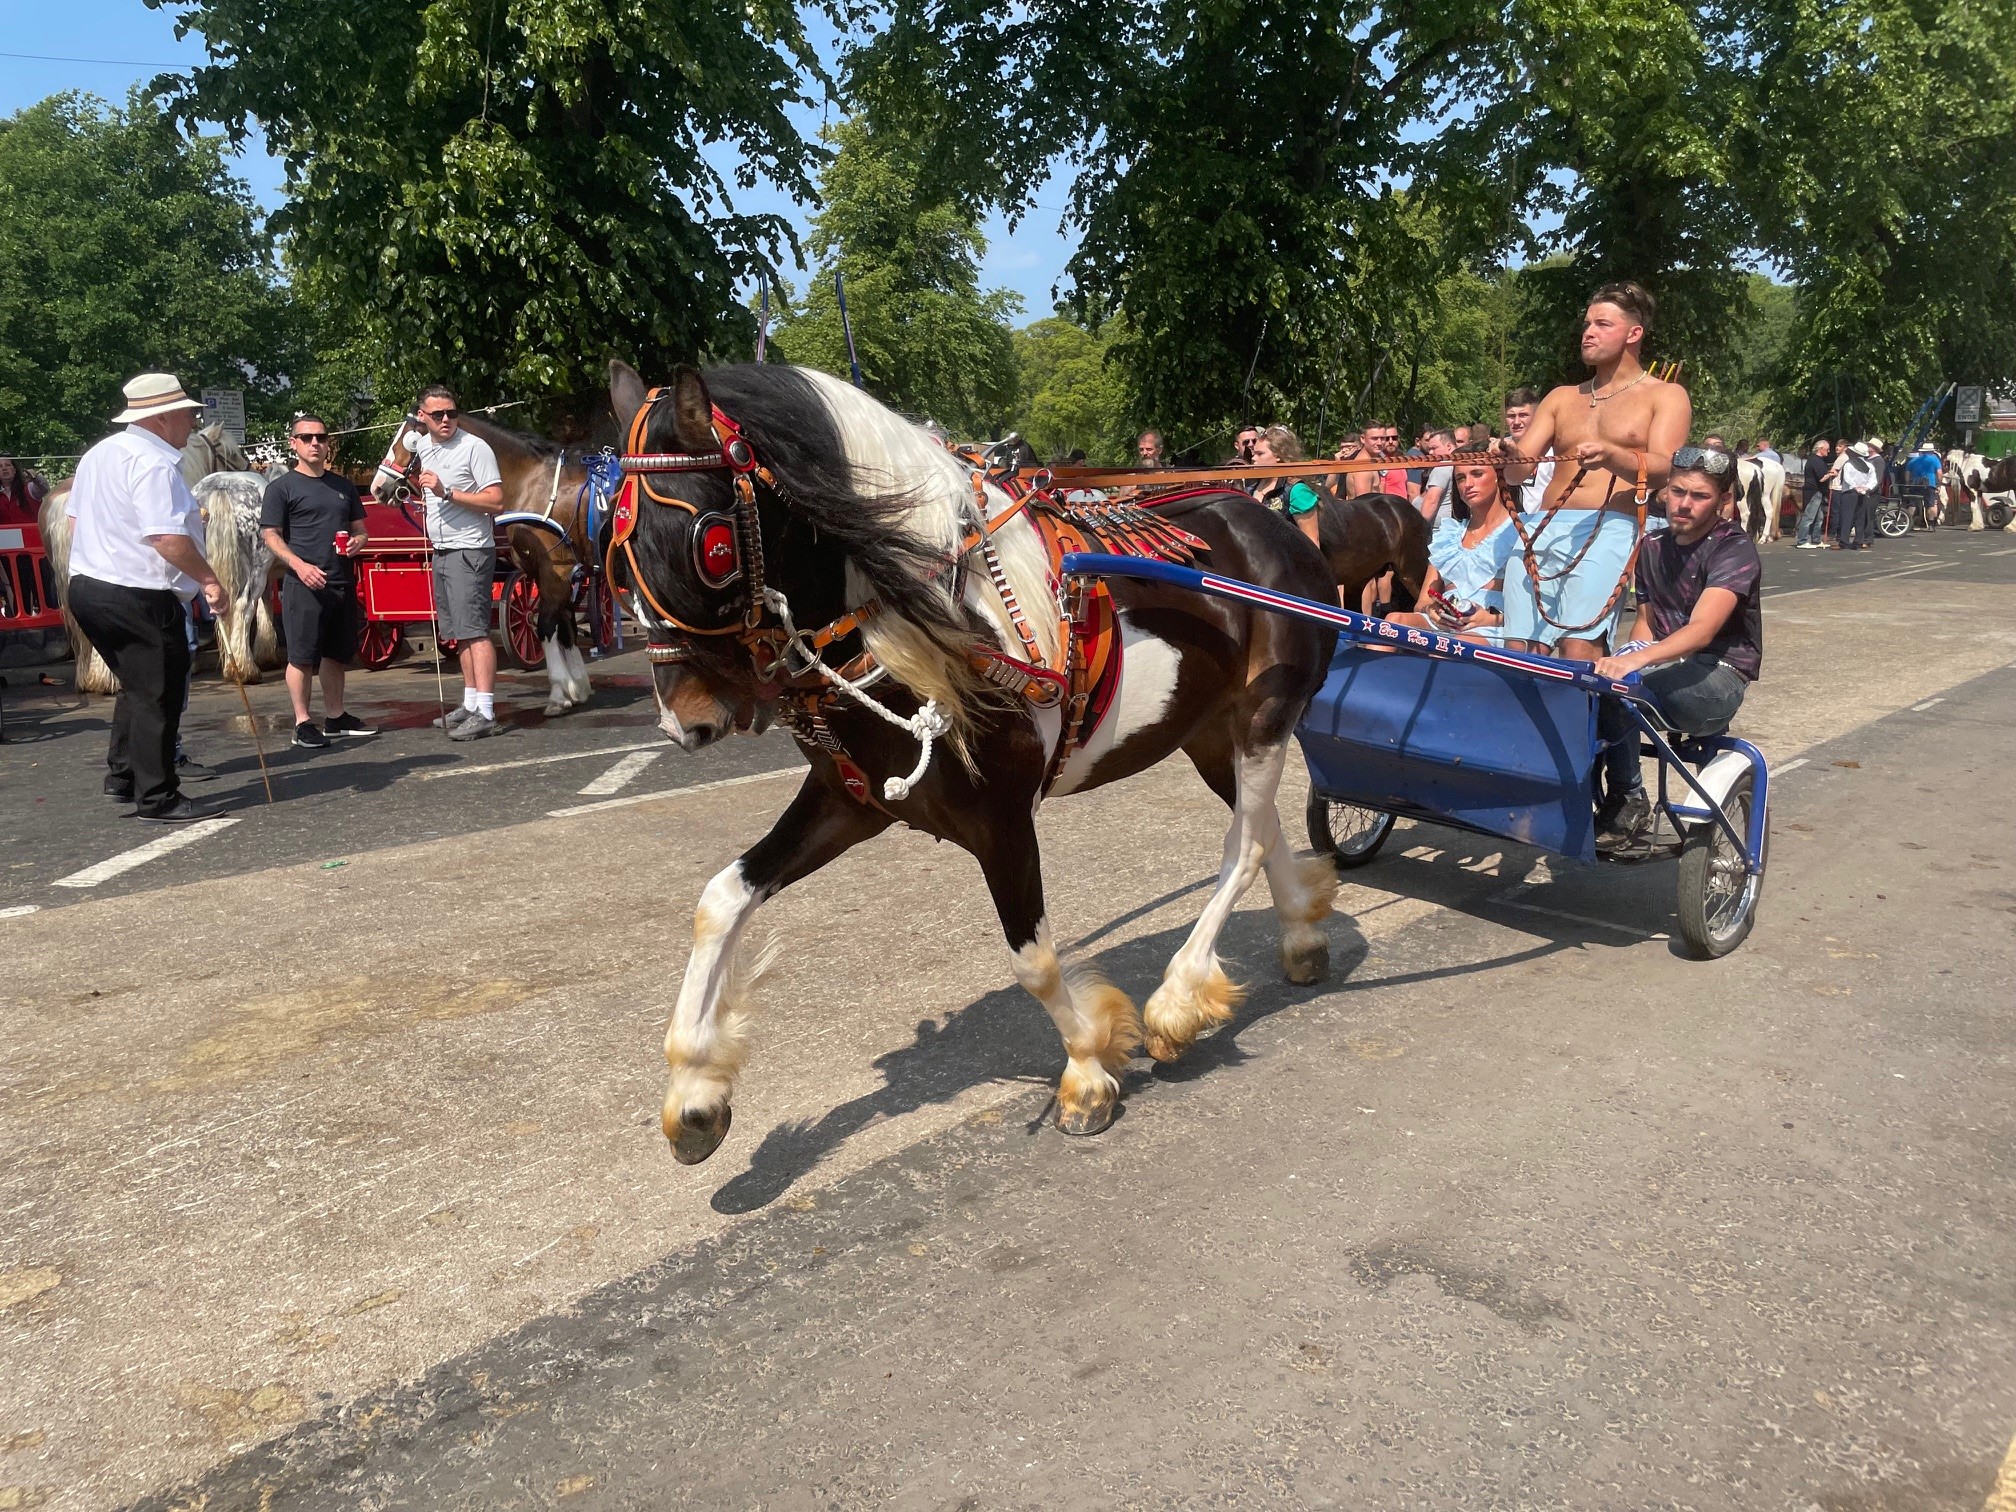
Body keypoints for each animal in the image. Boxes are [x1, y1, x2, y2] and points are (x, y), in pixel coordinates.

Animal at [608, 360, 1338, 1169]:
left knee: (1242, 846)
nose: (684, 722)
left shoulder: (1002, 819)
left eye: (707, 545)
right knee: (1262, 824)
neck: (937, 625)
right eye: (613, 549)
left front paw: (1088, 1066)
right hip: (1210, 733)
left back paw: (1178, 1000)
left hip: (1265, 719)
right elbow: (722, 900)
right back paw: (1300, 934)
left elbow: (1034, 960)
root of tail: (1274, 525)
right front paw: (695, 1090)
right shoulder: (849, 803)